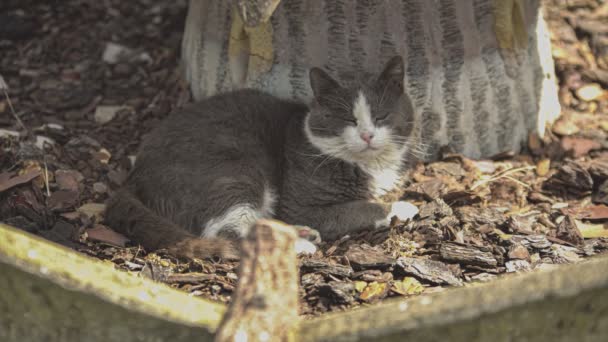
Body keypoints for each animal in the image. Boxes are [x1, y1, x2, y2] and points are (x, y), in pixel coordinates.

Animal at [104, 56, 420, 260]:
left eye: (381, 116)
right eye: (348, 119)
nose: (367, 135)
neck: (370, 167)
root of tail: (133, 176)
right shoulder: (299, 203)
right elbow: (358, 207)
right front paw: (402, 207)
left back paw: (302, 235)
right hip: (235, 169)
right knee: (227, 231)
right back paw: (301, 246)